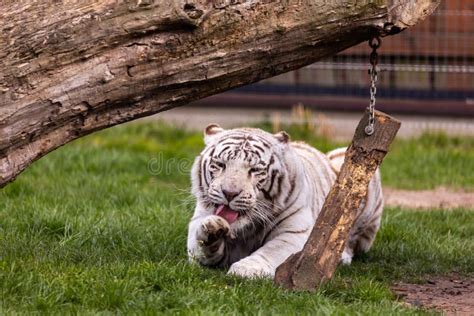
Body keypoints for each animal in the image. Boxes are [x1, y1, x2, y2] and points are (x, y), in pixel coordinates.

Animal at [187, 124, 384, 278]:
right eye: (220, 165)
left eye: (254, 170)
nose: (229, 193)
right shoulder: (197, 224)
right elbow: (200, 242)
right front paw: (213, 228)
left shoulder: (294, 232)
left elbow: (272, 250)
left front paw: (247, 269)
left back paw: (342, 256)